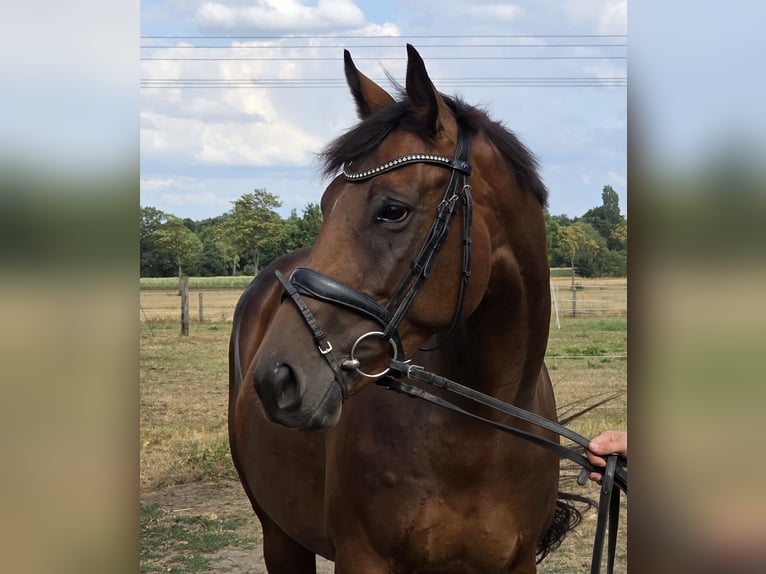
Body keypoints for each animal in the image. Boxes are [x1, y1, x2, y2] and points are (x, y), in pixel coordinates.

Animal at [229, 44, 578, 573]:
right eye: (327, 204)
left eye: (392, 210)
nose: (276, 379)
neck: (477, 437)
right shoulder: (361, 557)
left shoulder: (517, 563)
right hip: (280, 536)